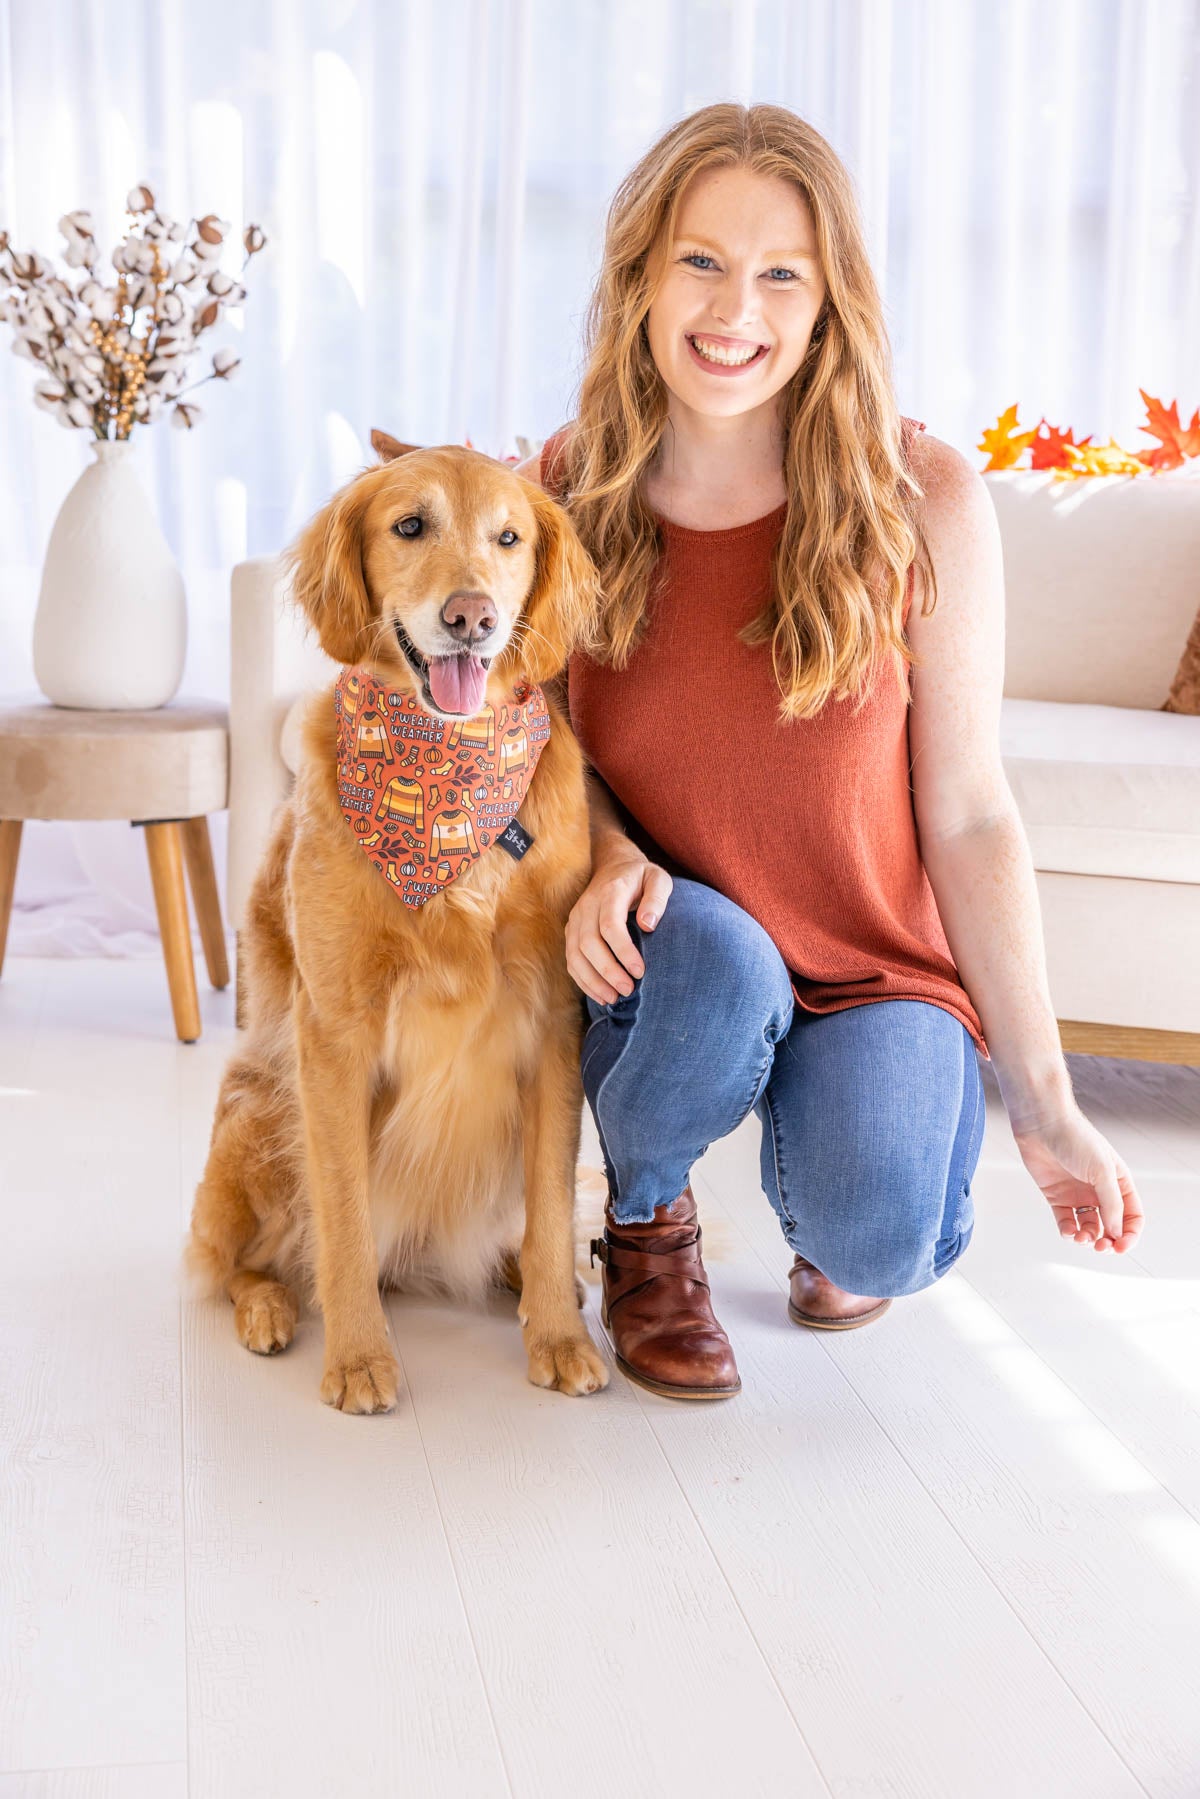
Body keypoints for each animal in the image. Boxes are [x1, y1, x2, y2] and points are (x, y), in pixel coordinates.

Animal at [185, 433, 610, 1413]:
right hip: (258, 1106)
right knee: (237, 1259)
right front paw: (356, 1358)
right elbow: (341, 1213)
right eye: (410, 526)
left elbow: (548, 1197)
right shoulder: (333, 1031)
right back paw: (269, 1307)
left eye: (509, 537)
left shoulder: (555, 1021)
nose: (471, 617)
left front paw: (558, 1335)